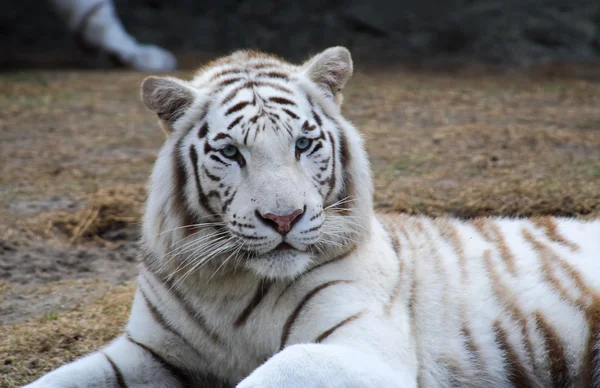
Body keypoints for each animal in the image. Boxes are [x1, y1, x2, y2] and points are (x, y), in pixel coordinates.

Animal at [25, 46, 600, 388]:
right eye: (230, 152)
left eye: (303, 144)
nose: (283, 218)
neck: (229, 284)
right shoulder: (147, 353)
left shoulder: (360, 348)